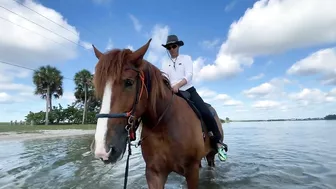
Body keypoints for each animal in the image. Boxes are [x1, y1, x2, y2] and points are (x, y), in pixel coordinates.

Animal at [90, 38, 226, 189]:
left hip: (211, 155)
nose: (103, 149)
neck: (164, 125)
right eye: (99, 87)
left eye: (129, 82)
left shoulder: (192, 171)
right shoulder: (154, 173)